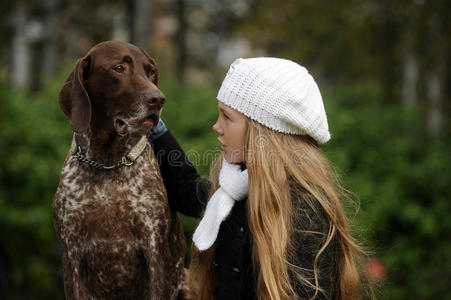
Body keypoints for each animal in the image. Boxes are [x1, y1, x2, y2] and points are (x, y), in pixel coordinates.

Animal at [53, 41, 187, 298]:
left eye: (151, 72)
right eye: (119, 68)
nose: (158, 99)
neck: (107, 164)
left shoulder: (155, 252)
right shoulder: (72, 257)